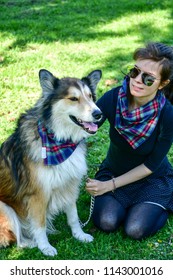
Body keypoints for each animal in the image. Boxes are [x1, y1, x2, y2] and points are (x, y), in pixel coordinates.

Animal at [0, 69, 102, 258]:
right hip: (4, 207)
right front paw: (45, 247)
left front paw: (80, 235)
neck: (60, 139)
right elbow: (40, 225)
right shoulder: (38, 194)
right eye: (73, 98)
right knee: (14, 239)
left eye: (91, 96)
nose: (98, 114)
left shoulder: (70, 185)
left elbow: (73, 216)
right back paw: (31, 243)